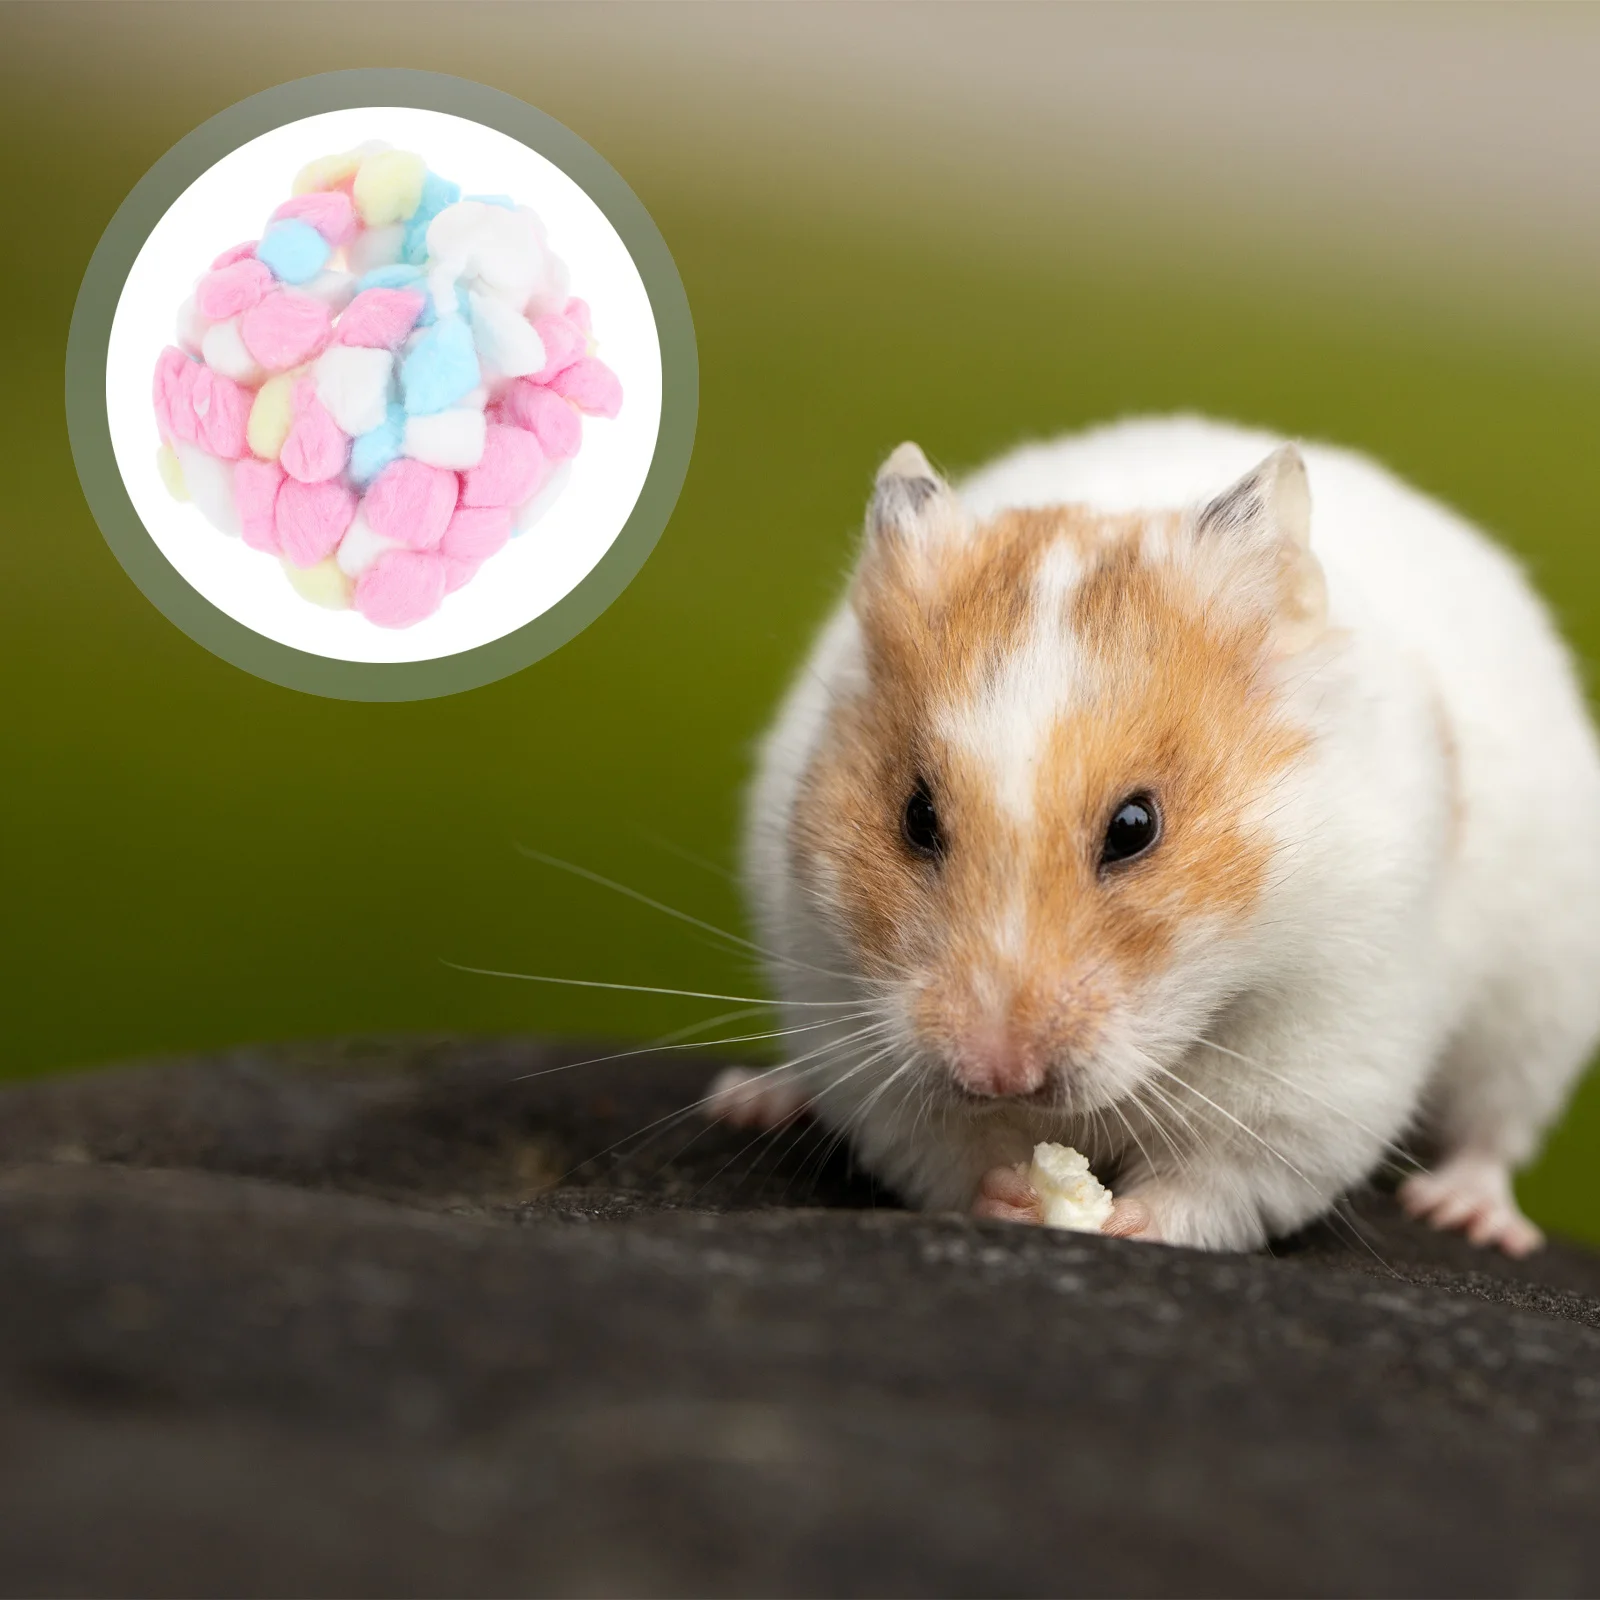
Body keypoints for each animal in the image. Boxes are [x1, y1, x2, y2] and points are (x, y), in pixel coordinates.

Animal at [711, 416, 1600, 1255]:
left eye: (1135, 828)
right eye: (916, 817)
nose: (999, 1073)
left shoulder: (1318, 1056)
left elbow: (1217, 1180)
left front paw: (1121, 1223)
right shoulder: (851, 1017)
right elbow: (945, 1153)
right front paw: (1015, 1196)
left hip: (1540, 1008)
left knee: (1494, 1128)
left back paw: (1468, 1214)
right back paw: (753, 1099)